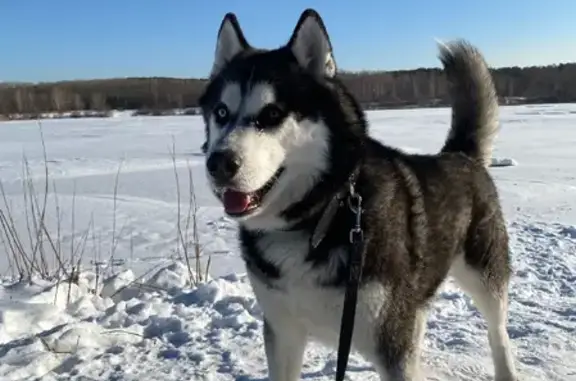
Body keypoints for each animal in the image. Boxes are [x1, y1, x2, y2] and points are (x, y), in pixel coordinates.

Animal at [198, 8, 516, 380]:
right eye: (221, 112)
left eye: (272, 113)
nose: (218, 163)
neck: (319, 216)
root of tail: (460, 155)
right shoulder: (284, 331)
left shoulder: (392, 342)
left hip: (485, 276)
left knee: (498, 333)